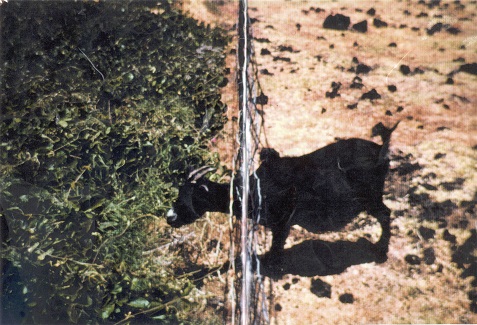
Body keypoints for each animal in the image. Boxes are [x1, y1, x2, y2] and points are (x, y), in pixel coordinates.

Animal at [167, 121, 398, 260]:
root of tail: (381, 151)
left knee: (385, 213)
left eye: (191, 197)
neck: (252, 189)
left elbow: (276, 246)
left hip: (371, 197)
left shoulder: (282, 220)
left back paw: (380, 249)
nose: (170, 217)